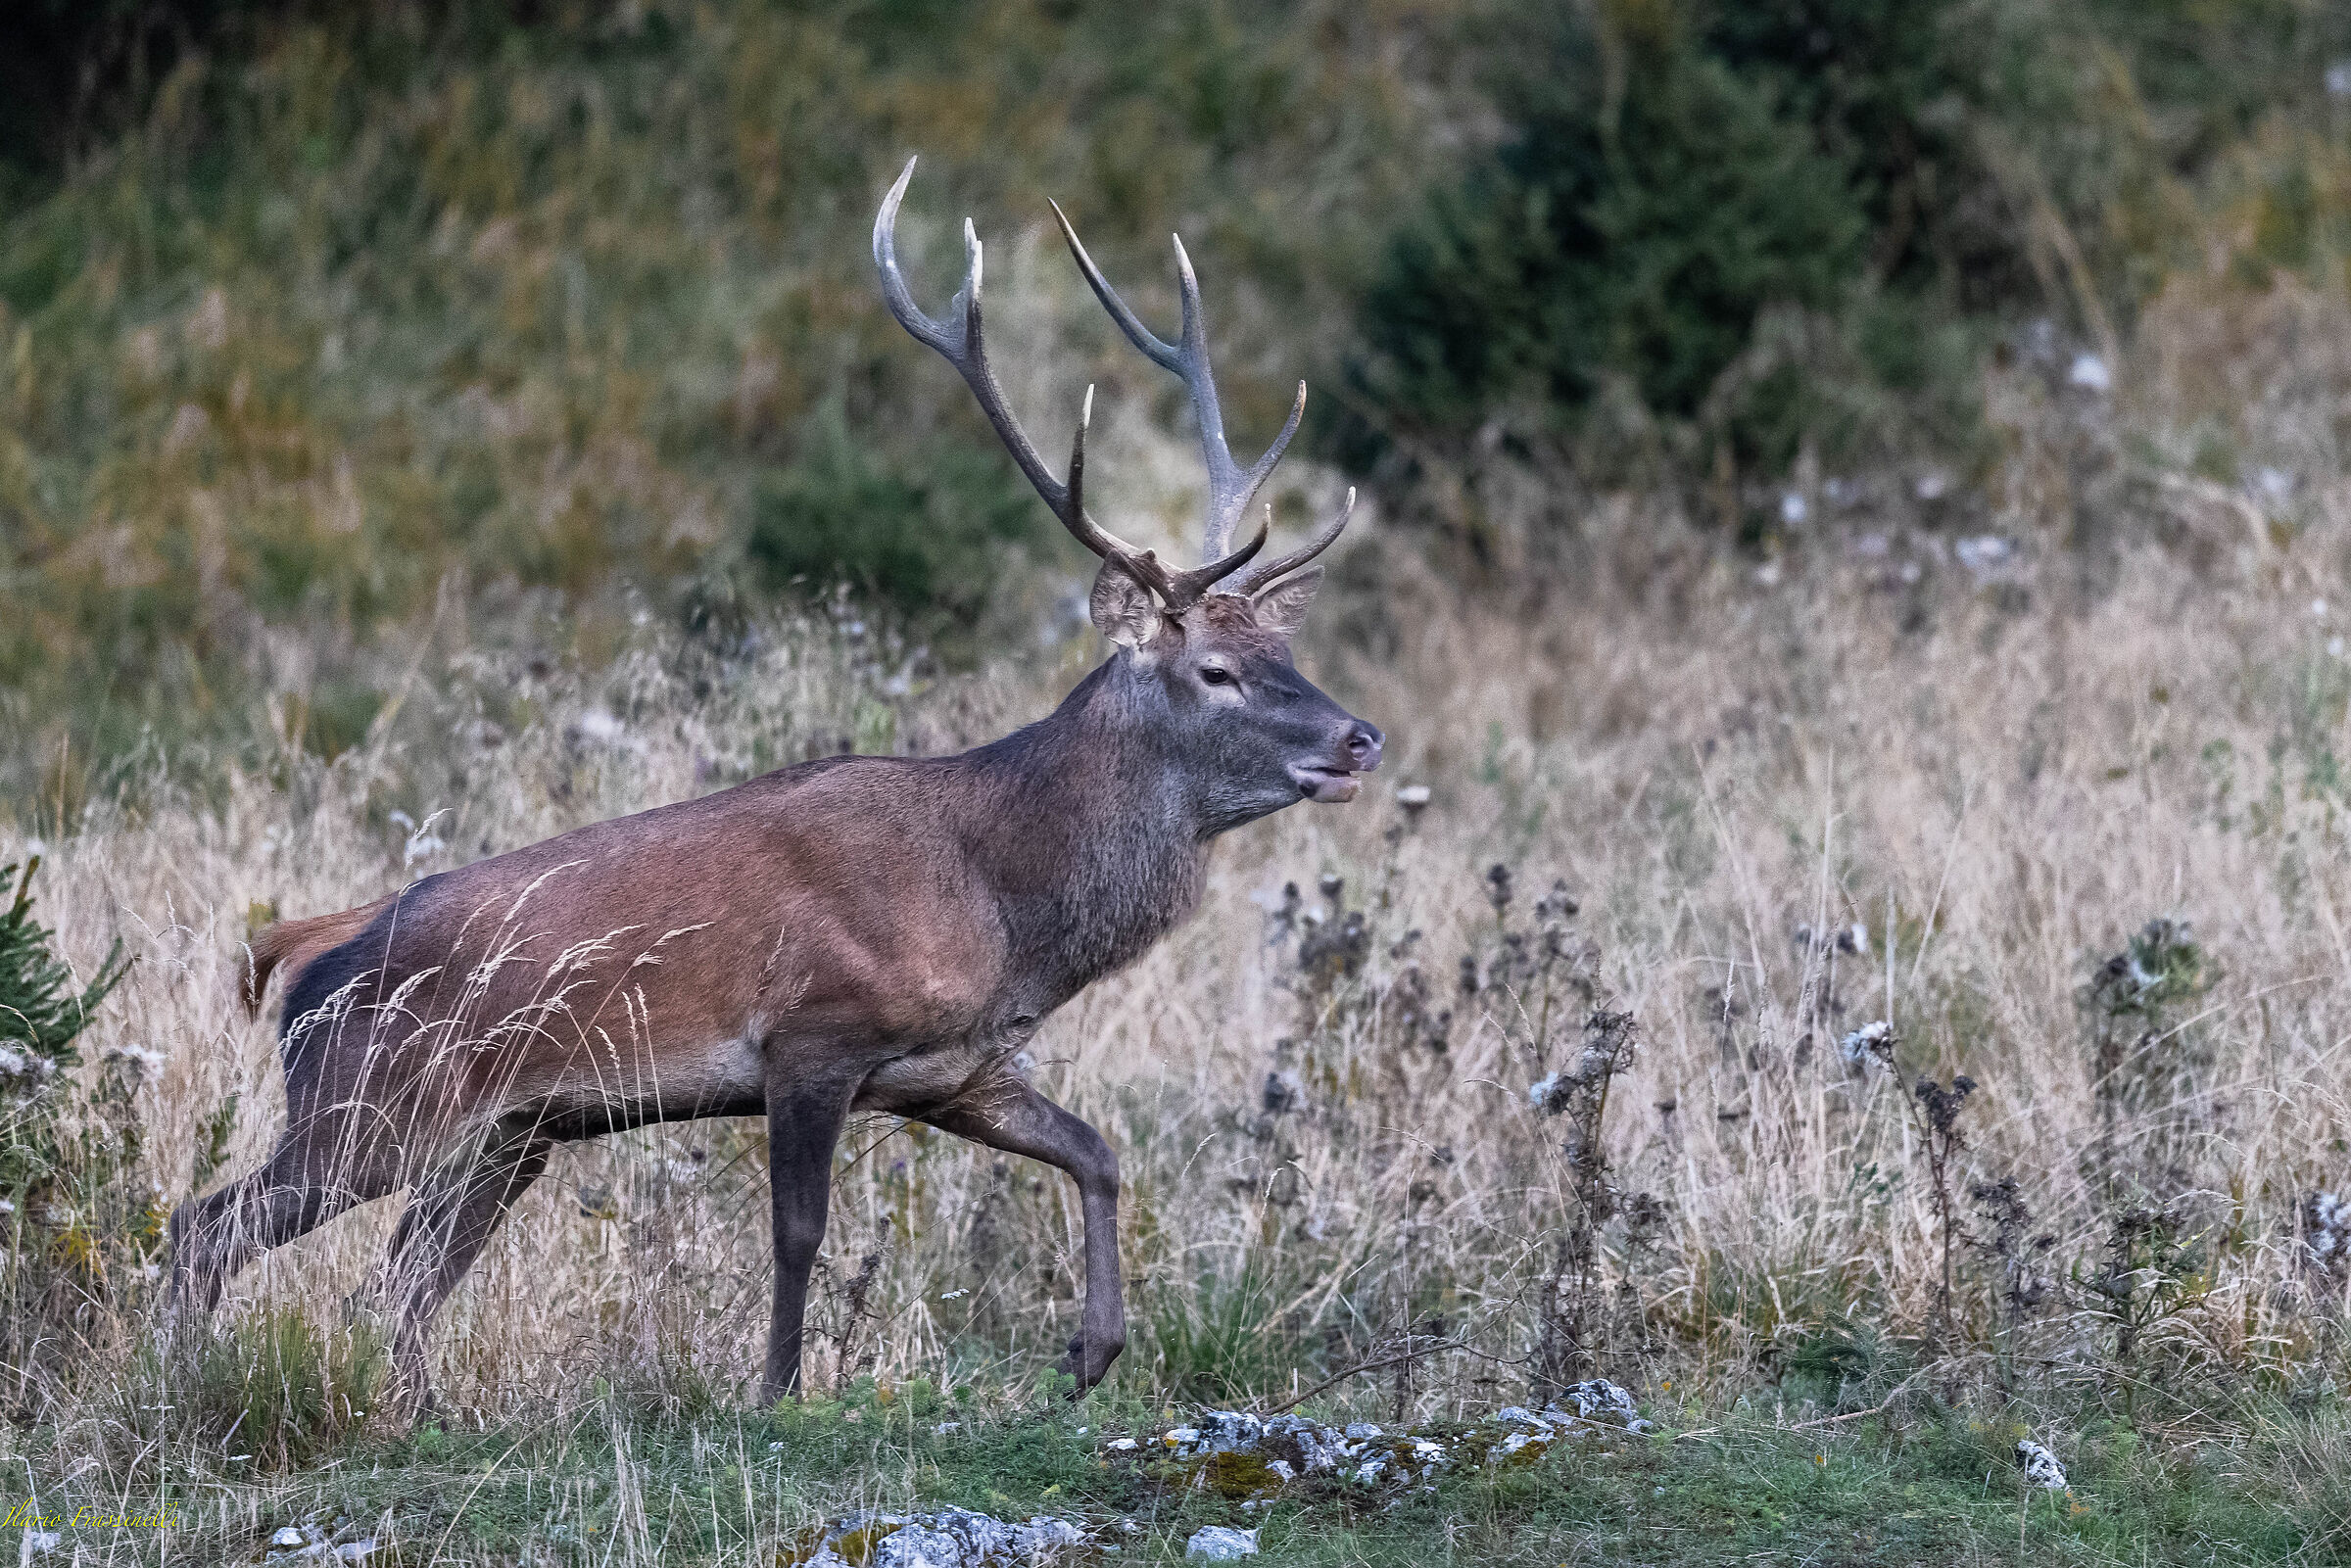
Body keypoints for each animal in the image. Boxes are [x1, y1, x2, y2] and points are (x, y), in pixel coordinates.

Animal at [166, 157, 1382, 1409]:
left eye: (1287, 650)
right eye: (1217, 670)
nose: (1359, 739)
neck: (1003, 902)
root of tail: (304, 948)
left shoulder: (955, 1068)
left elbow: (1099, 1148)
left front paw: (1090, 1351)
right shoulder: (813, 1033)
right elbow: (800, 1230)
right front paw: (777, 1394)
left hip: (504, 1131)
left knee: (396, 1283)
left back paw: (416, 1417)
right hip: (373, 1099)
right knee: (204, 1226)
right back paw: (184, 1387)